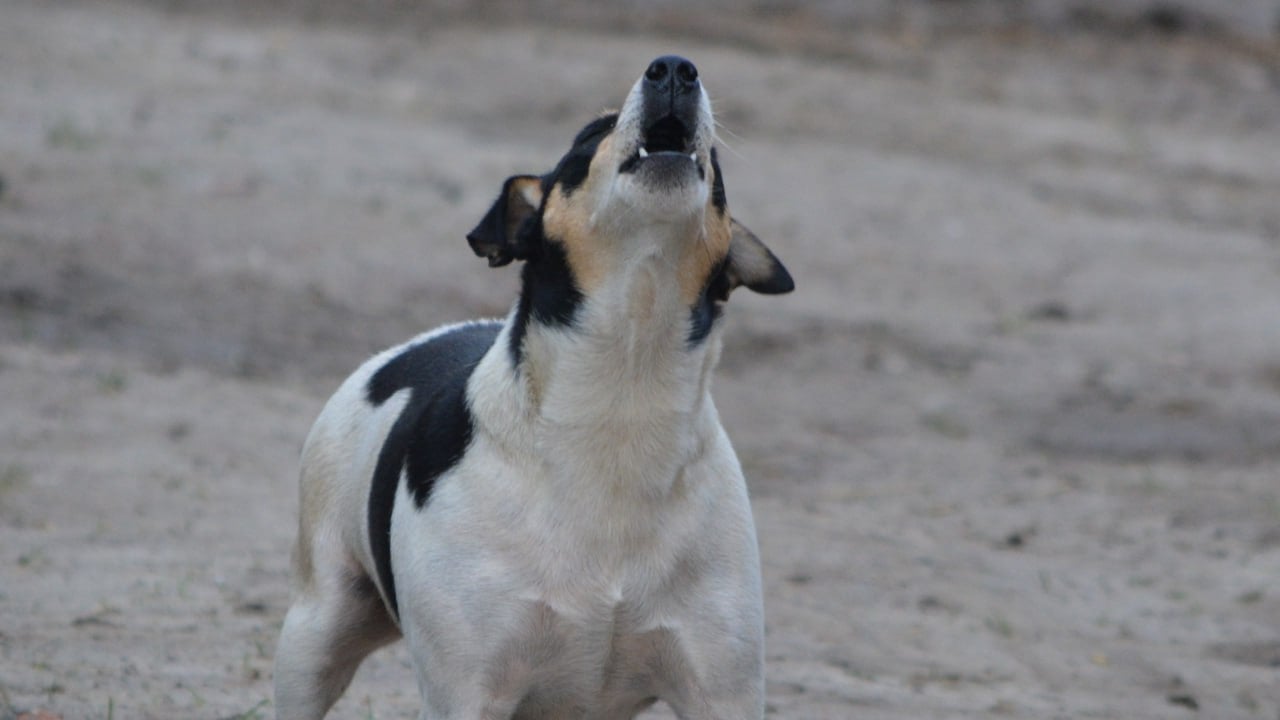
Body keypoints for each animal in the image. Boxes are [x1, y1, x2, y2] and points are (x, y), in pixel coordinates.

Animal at [272, 56, 788, 717]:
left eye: (716, 163)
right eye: (591, 134)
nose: (674, 68)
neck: (623, 389)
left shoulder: (722, 688)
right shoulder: (467, 692)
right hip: (317, 629)